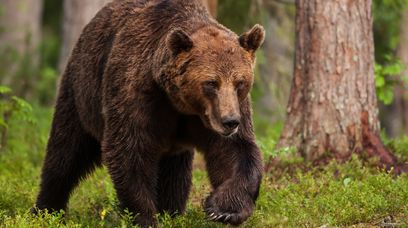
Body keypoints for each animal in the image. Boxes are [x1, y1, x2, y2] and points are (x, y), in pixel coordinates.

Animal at [34, 0, 264, 226]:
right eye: (211, 83)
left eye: (240, 82)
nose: (230, 122)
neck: (178, 102)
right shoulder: (137, 94)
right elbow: (129, 150)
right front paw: (145, 217)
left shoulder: (215, 115)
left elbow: (235, 151)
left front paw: (223, 209)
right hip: (82, 92)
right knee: (65, 152)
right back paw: (47, 210)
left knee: (176, 172)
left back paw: (171, 211)